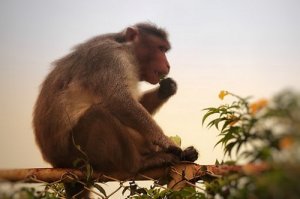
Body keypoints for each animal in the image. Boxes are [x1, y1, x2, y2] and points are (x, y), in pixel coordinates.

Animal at [32, 22, 198, 197]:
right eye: (160, 49)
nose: (167, 65)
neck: (126, 49)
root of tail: (56, 162)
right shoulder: (110, 57)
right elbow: (119, 100)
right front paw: (168, 143)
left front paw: (166, 88)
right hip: (75, 154)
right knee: (99, 115)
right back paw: (140, 163)